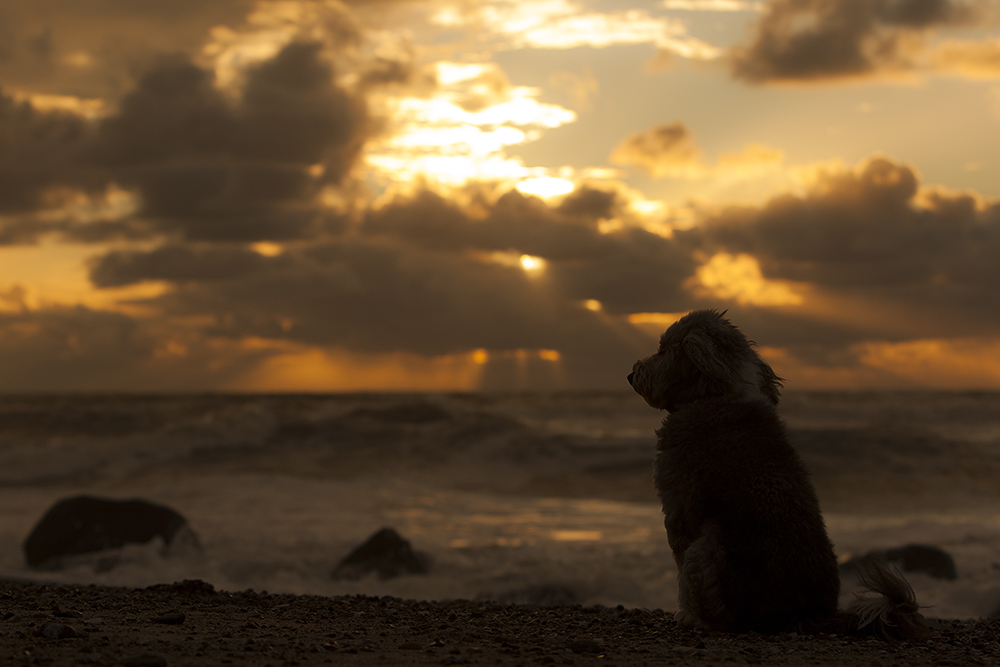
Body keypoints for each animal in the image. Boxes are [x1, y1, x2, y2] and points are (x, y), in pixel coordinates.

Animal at [628, 310, 924, 640]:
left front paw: (684, 614)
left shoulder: (680, 512)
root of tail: (807, 615)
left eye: (663, 350)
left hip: (704, 552)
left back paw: (699, 620)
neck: (713, 395)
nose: (630, 375)